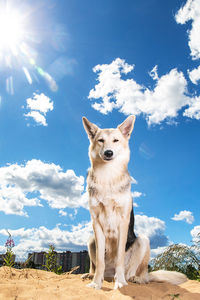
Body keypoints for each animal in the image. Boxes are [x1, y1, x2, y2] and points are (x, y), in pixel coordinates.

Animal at [81, 115, 186, 288]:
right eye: (101, 141)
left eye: (116, 140)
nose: (108, 153)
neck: (108, 177)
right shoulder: (96, 222)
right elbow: (100, 261)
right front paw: (96, 283)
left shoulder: (123, 222)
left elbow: (119, 258)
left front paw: (120, 283)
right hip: (91, 240)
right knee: (98, 266)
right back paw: (92, 275)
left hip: (143, 240)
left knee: (135, 272)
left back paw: (132, 279)